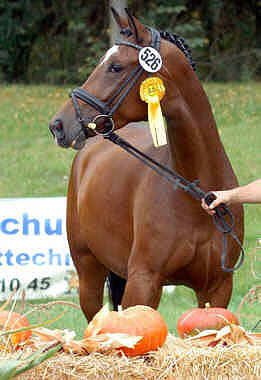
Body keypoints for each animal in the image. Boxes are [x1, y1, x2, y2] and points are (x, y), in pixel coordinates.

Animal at [49, 7, 244, 322]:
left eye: (115, 66)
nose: (58, 125)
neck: (196, 191)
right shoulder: (143, 282)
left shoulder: (217, 288)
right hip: (88, 275)